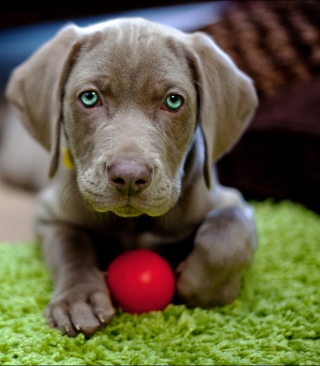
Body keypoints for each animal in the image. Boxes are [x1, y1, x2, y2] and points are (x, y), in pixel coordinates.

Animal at [5, 17, 258, 338]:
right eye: (89, 97)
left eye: (173, 101)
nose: (128, 177)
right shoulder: (50, 215)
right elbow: (70, 246)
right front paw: (78, 301)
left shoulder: (231, 201)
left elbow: (226, 235)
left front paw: (201, 287)